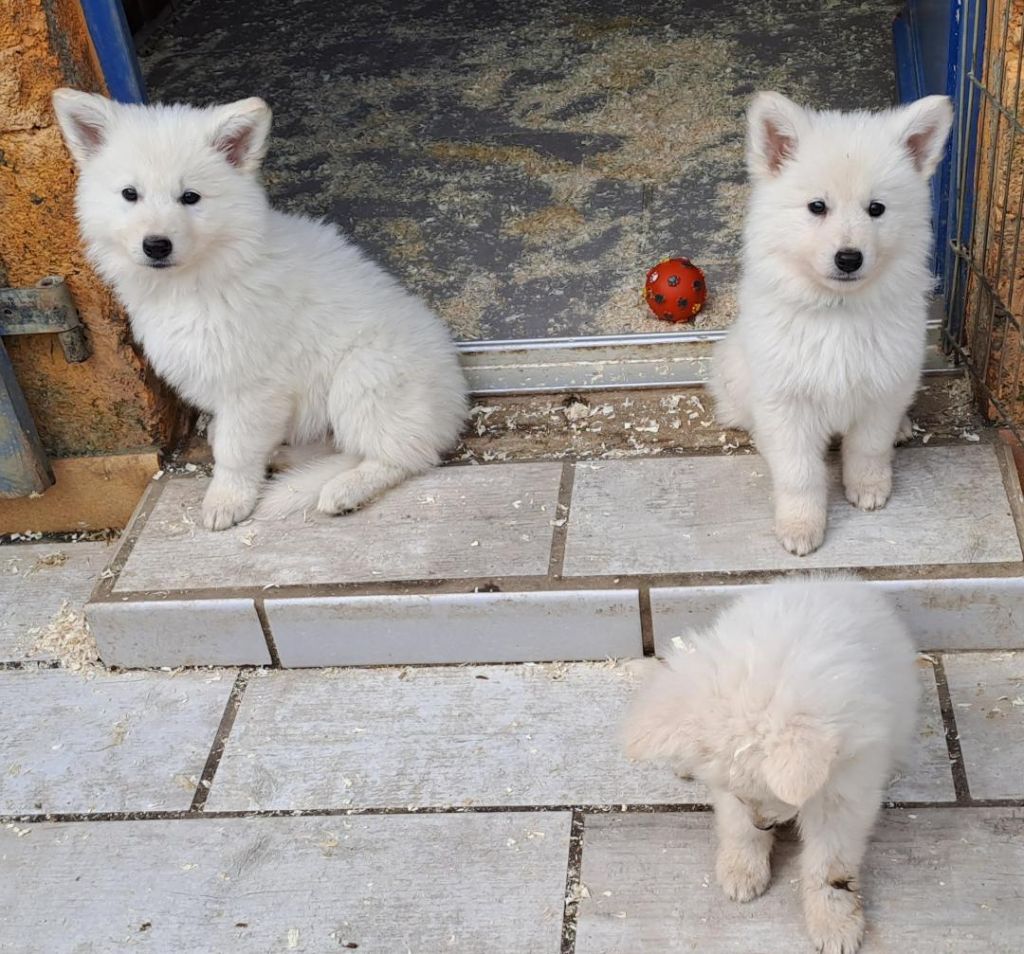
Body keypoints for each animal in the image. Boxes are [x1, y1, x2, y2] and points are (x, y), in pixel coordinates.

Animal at [51, 90, 468, 532]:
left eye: (190, 197)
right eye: (130, 194)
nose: (156, 245)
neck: (201, 278)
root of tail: (455, 399)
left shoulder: (253, 388)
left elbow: (236, 452)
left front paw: (226, 500)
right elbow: (228, 437)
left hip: (365, 377)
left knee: (403, 454)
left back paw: (343, 489)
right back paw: (290, 458)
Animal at [622, 573, 921, 953]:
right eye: (739, 795)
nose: (764, 825)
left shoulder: (845, 793)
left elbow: (829, 863)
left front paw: (833, 922)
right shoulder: (729, 789)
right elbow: (736, 825)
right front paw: (742, 869)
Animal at [708, 93, 954, 556]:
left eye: (876, 209)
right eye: (817, 207)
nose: (849, 258)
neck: (838, 311)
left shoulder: (882, 388)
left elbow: (868, 449)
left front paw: (869, 488)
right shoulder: (787, 403)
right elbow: (799, 473)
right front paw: (801, 526)